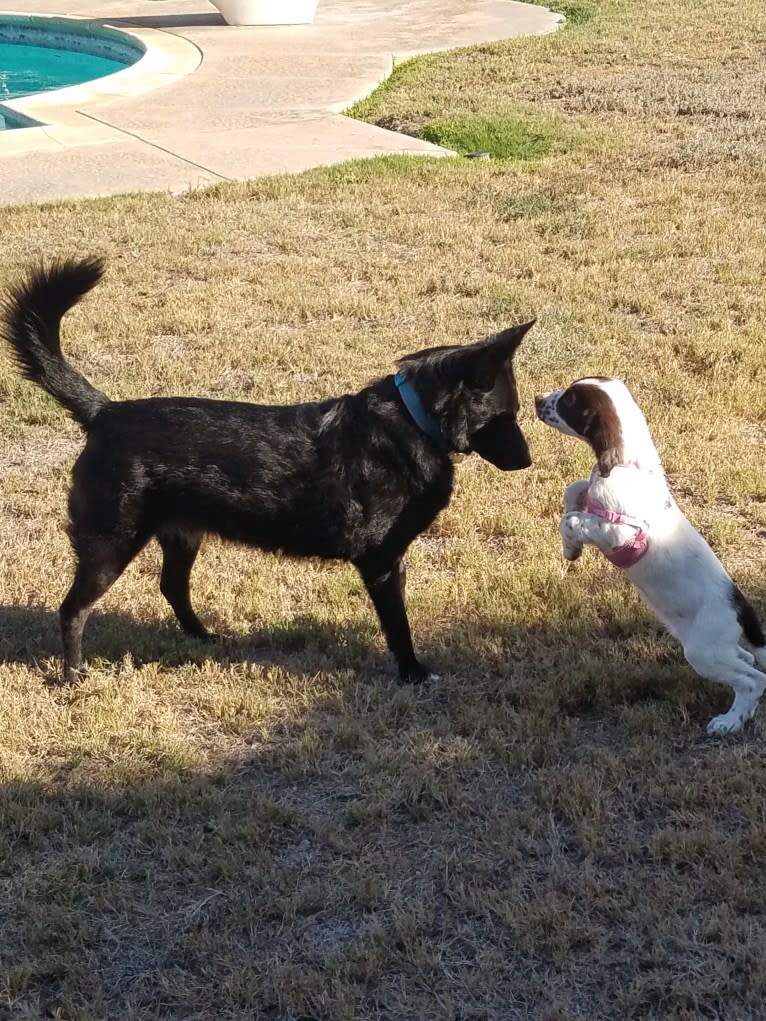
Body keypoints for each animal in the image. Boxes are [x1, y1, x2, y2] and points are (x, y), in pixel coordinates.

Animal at [1, 259, 535, 682]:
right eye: (505, 416)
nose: (528, 461)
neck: (413, 419)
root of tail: (105, 413)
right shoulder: (382, 563)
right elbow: (398, 627)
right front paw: (413, 673)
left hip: (180, 535)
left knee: (171, 587)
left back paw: (204, 638)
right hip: (110, 543)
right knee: (74, 609)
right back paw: (73, 675)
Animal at [535, 375, 763, 735]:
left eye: (569, 400)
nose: (537, 399)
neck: (627, 465)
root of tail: (741, 606)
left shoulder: (624, 533)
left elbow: (571, 519)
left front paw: (572, 540)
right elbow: (573, 491)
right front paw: (571, 547)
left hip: (704, 651)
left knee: (754, 679)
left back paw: (728, 722)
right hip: (715, 648)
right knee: (750, 660)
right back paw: (742, 714)